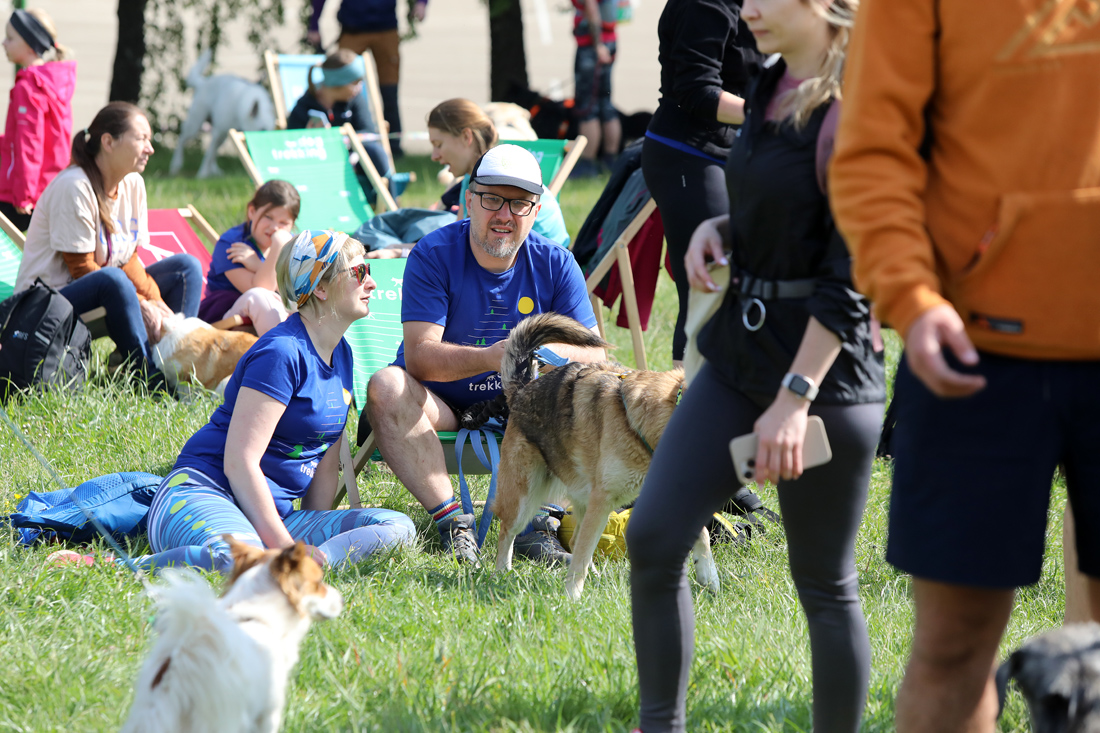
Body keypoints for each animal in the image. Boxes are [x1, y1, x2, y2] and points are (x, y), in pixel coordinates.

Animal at [169, 49, 277, 179]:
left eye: (271, 130)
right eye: (262, 130)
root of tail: (203, 83)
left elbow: (211, 154)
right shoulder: (218, 131)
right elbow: (208, 154)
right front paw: (202, 174)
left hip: (223, 136)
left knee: (214, 151)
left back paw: (215, 170)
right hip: (196, 125)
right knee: (182, 139)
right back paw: (176, 164)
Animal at [490, 313, 720, 601]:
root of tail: (523, 388)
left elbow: (703, 534)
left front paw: (709, 576)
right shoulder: (603, 498)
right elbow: (579, 559)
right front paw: (572, 598)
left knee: (575, 541)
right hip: (526, 499)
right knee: (509, 532)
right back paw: (501, 573)